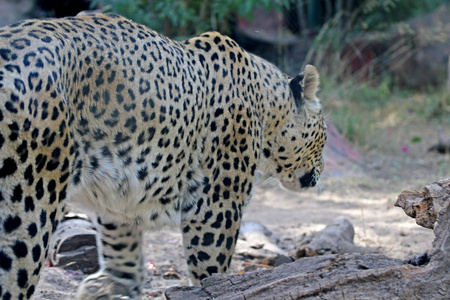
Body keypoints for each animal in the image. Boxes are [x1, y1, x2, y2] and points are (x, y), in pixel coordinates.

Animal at [0, 13, 326, 300]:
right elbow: (211, 260)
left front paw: (116, 285)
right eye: (324, 131)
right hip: (29, 199)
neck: (268, 105)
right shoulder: (217, 205)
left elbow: (119, 235)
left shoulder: (118, 190)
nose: (322, 170)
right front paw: (219, 288)